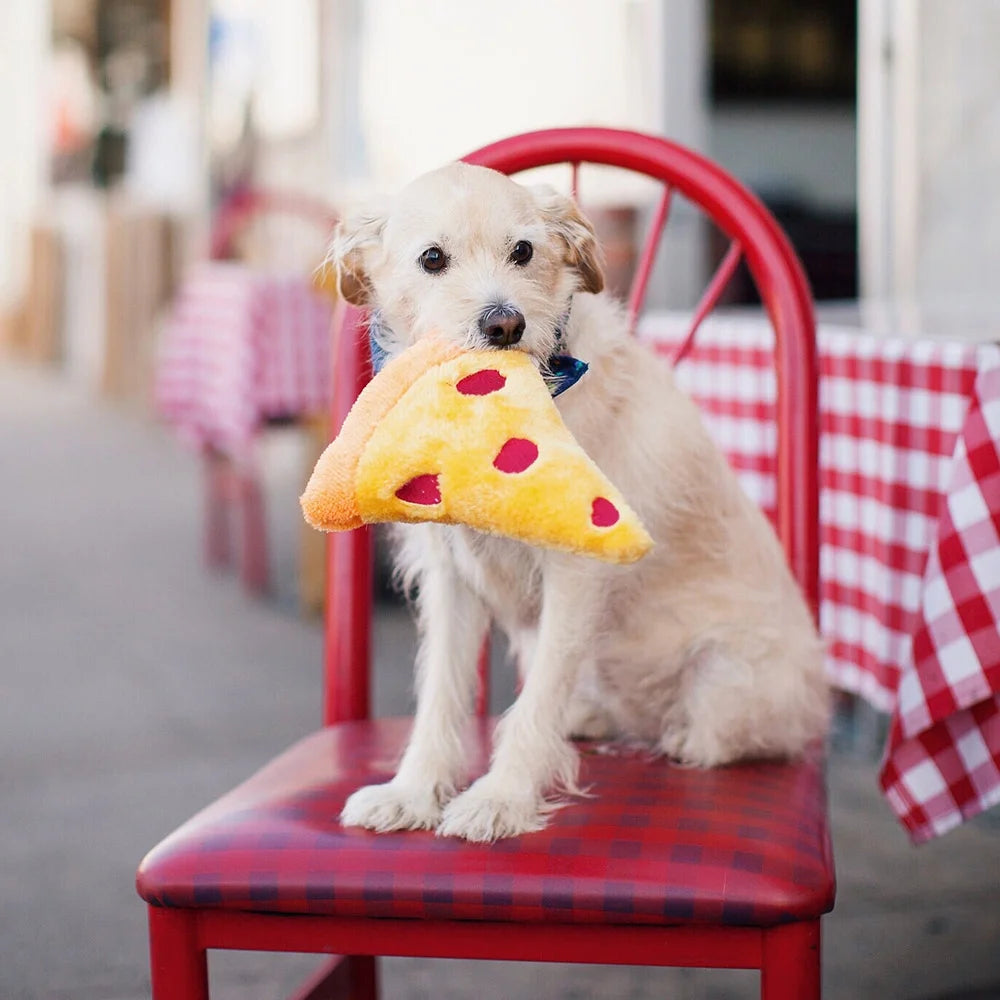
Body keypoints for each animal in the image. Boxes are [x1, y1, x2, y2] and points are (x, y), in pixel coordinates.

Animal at [330, 164, 828, 844]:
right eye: (433, 258)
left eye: (523, 251)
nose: (504, 324)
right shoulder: (452, 578)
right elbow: (441, 692)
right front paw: (412, 791)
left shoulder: (576, 572)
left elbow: (536, 700)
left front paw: (503, 799)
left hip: (729, 677)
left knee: (742, 736)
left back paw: (682, 737)